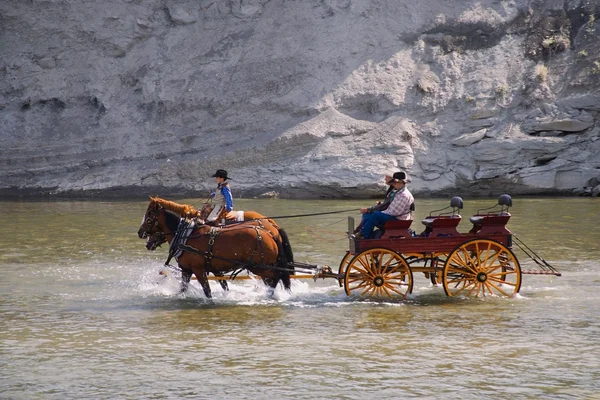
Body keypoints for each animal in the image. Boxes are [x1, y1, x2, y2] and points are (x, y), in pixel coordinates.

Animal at [138, 200, 292, 296]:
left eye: (149, 216)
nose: (140, 233)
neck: (187, 235)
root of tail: (270, 232)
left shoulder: (198, 270)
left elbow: (208, 291)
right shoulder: (190, 270)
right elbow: (184, 288)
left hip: (259, 267)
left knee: (276, 276)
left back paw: (270, 294)